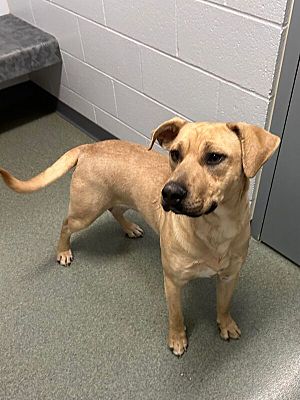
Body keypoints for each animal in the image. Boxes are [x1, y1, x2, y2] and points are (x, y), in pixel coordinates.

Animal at [1, 119, 280, 356]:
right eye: (175, 154)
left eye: (214, 157)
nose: (169, 192)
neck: (215, 228)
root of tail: (90, 147)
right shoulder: (173, 282)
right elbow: (176, 316)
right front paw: (177, 339)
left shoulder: (229, 277)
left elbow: (224, 305)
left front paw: (225, 324)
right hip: (86, 211)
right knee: (66, 225)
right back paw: (63, 250)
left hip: (121, 200)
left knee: (115, 210)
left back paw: (129, 228)